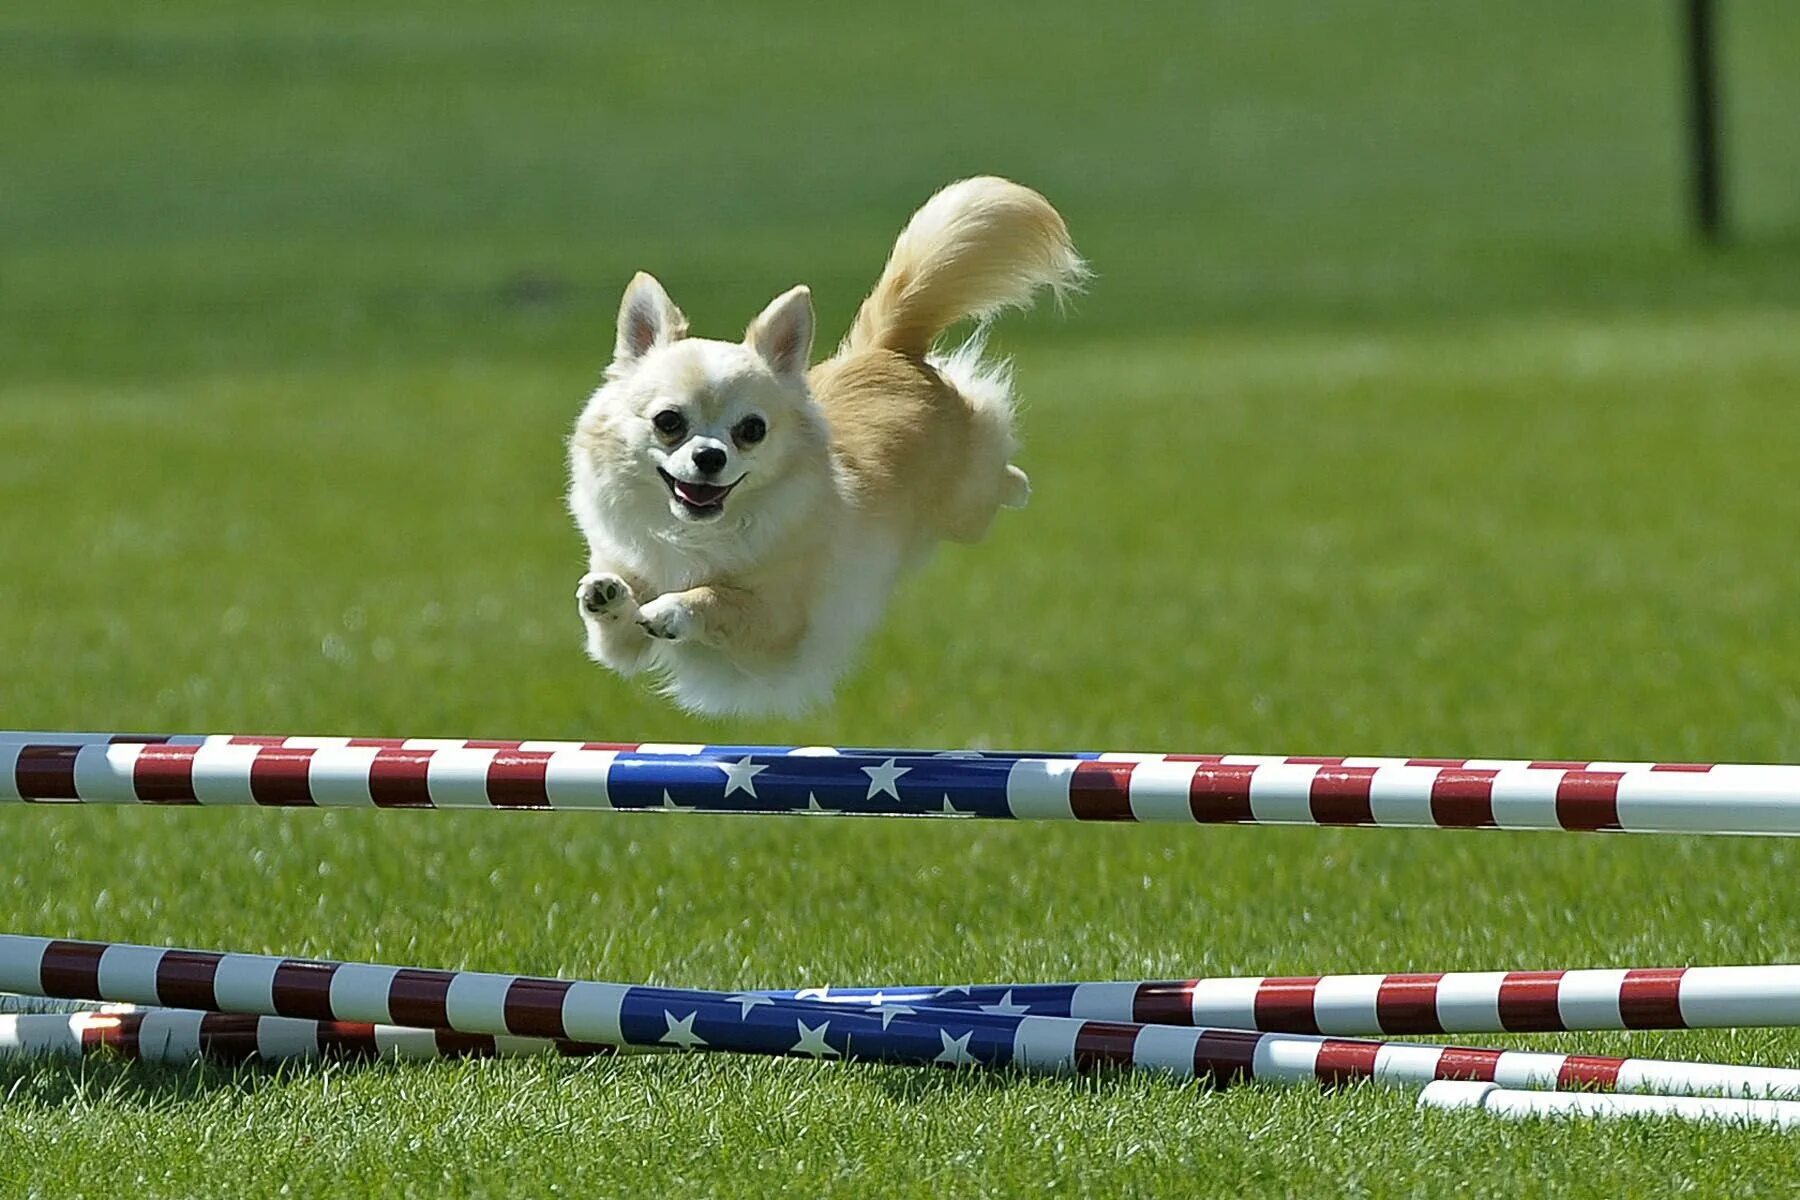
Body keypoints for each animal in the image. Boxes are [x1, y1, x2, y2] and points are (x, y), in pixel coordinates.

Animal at [568, 178, 1087, 712]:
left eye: (751, 430)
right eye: (668, 422)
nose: (709, 457)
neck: (696, 534)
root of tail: (887, 350)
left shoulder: (777, 630)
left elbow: (718, 597)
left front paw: (673, 607)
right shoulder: (623, 644)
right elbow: (616, 629)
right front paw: (606, 594)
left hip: (965, 506)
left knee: (992, 459)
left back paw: (1018, 483)